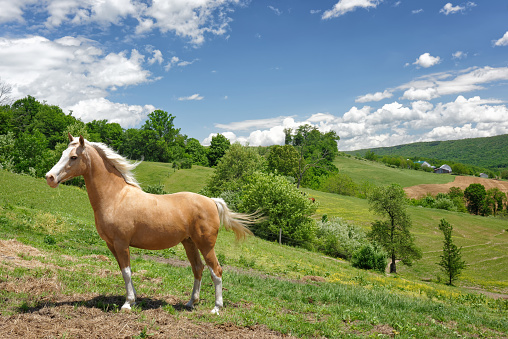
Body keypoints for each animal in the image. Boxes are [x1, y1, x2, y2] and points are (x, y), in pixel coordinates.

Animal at [45, 134, 256, 314]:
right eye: (62, 153)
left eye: (73, 157)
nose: (50, 177)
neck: (116, 197)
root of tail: (212, 201)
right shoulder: (111, 244)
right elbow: (124, 271)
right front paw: (134, 299)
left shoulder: (121, 243)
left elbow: (127, 272)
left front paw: (128, 303)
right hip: (189, 243)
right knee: (198, 268)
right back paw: (190, 303)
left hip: (205, 245)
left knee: (216, 271)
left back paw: (216, 308)